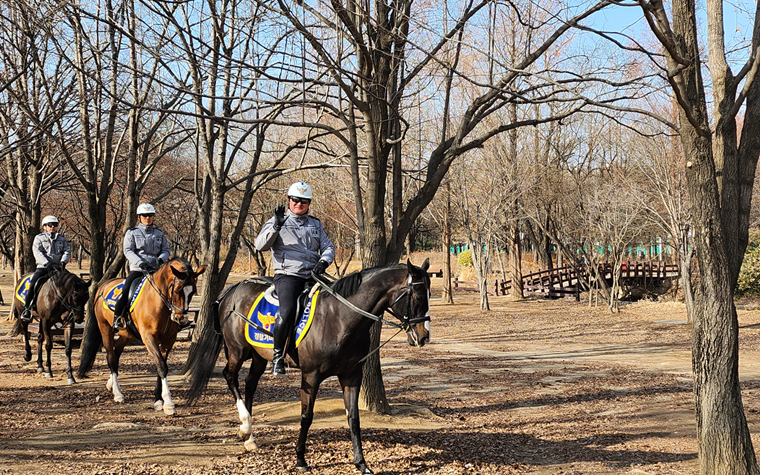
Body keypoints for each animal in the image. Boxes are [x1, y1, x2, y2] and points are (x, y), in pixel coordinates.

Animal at [78, 256, 205, 416]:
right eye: (177, 290)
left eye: (193, 291)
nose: (181, 319)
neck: (158, 302)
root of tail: (104, 285)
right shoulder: (148, 337)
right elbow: (161, 366)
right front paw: (169, 404)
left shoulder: (168, 340)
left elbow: (162, 367)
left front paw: (158, 400)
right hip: (105, 328)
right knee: (110, 356)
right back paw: (118, 393)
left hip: (126, 334)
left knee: (116, 353)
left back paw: (111, 384)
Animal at [186, 260, 430, 475]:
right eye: (418, 296)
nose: (424, 336)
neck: (339, 317)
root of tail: (232, 290)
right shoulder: (311, 376)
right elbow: (306, 416)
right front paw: (300, 459)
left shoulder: (351, 376)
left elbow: (353, 419)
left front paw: (361, 463)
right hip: (238, 351)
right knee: (230, 376)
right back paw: (246, 426)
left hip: (258, 356)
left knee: (250, 383)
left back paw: (250, 437)